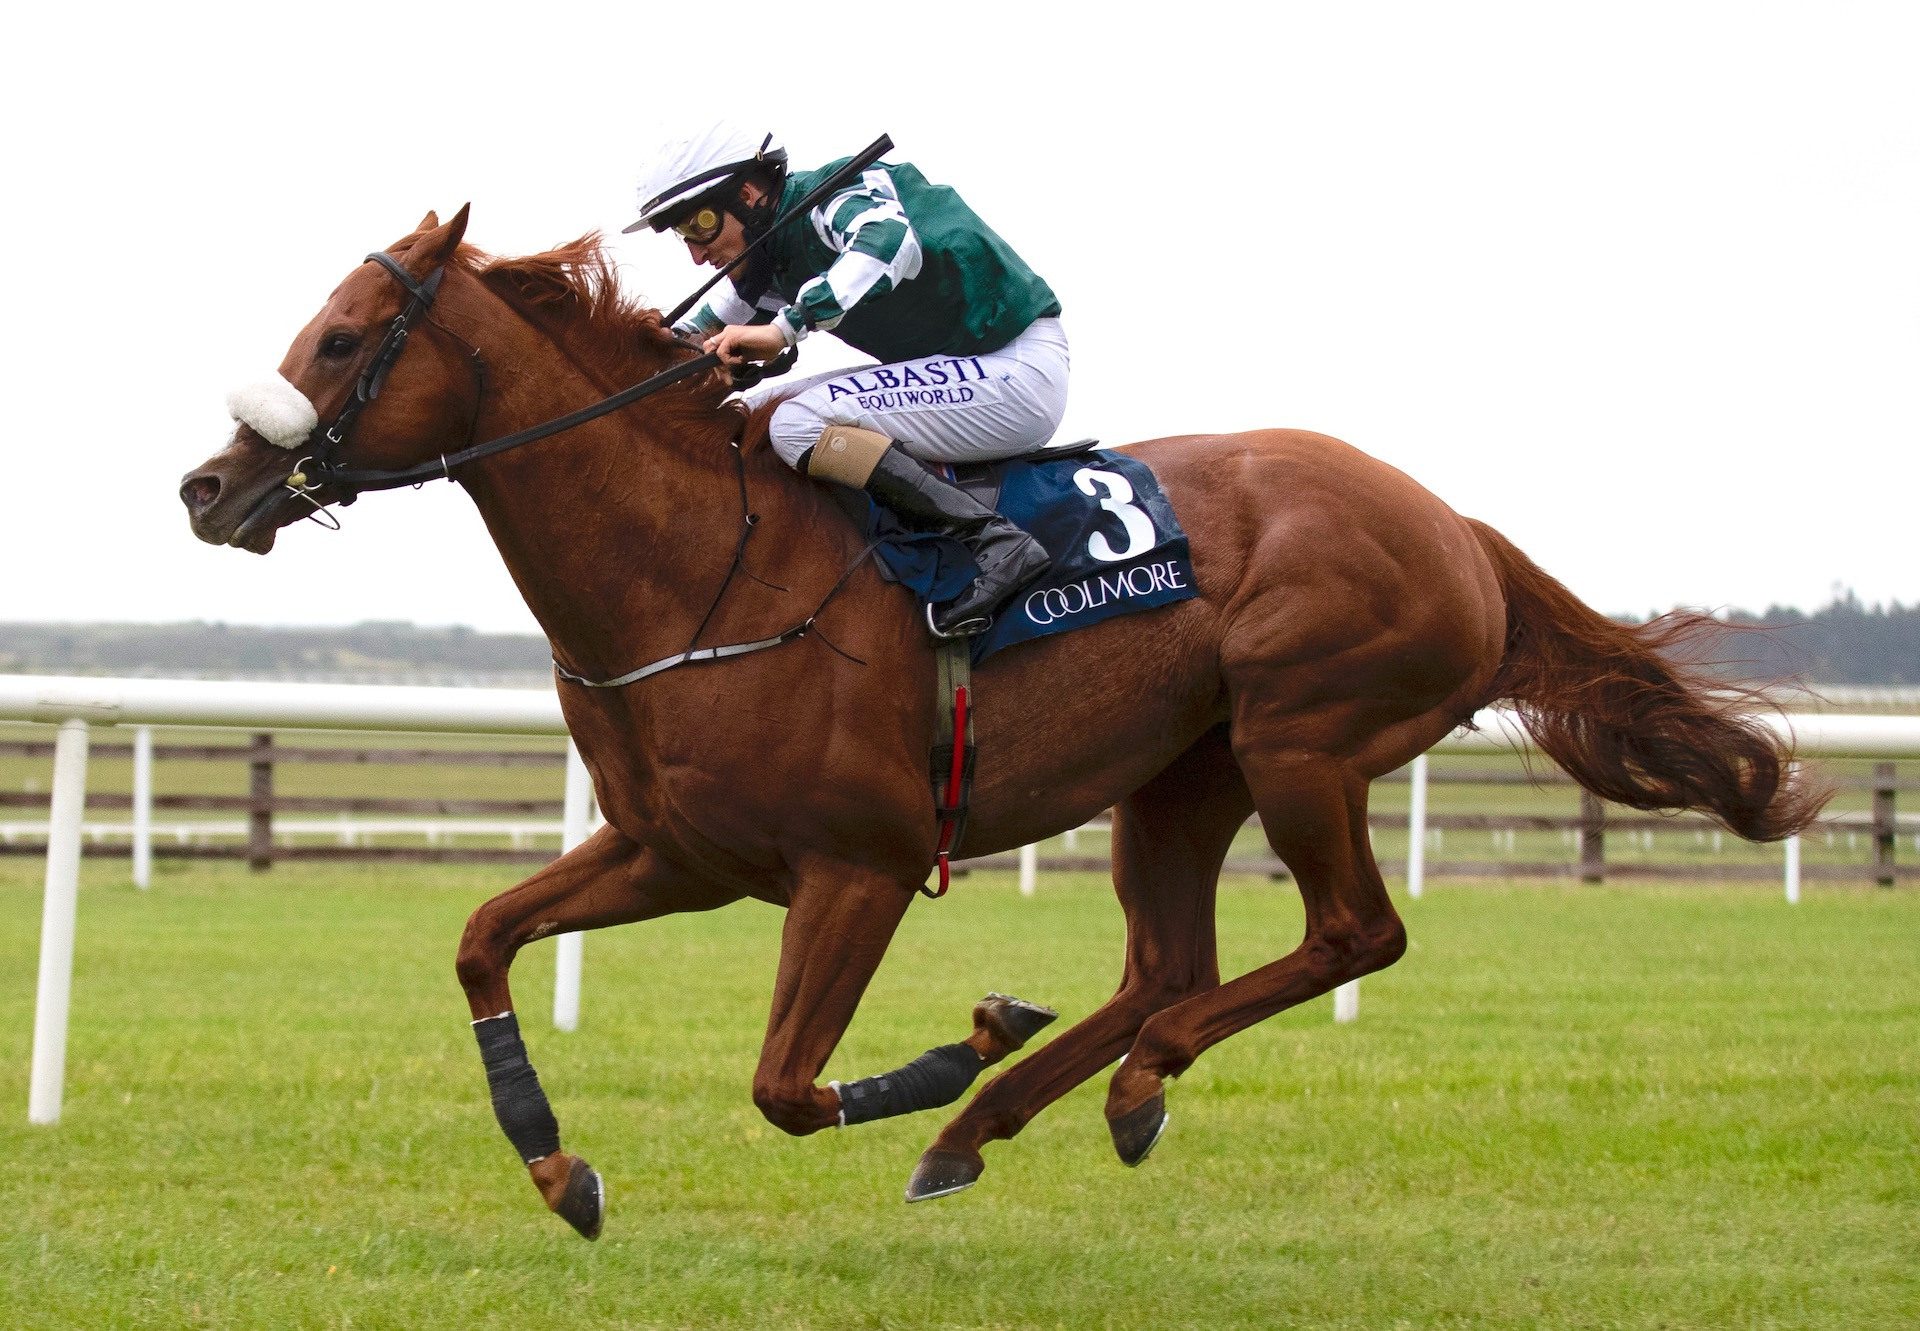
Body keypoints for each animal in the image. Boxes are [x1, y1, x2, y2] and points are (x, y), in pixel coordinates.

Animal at [176, 207, 1812, 1236]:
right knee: (1167, 963)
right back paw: (997, 1120)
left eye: (343, 340)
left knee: (1349, 935)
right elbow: (481, 938)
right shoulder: (675, 854)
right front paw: (558, 1166)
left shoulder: (863, 863)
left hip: (1301, 738)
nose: (207, 486)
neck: (700, 564)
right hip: (1180, 777)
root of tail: (1456, 526)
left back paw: (1099, 1086)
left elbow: (783, 1085)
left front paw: (953, 1045)